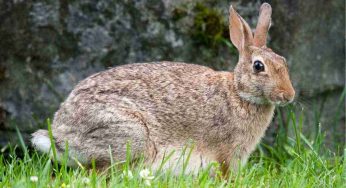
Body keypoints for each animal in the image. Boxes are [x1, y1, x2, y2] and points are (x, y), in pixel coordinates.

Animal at [31, 2, 294, 176]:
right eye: (258, 66)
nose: (289, 95)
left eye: (283, 61)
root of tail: (60, 135)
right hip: (130, 134)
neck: (239, 93)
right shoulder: (227, 152)